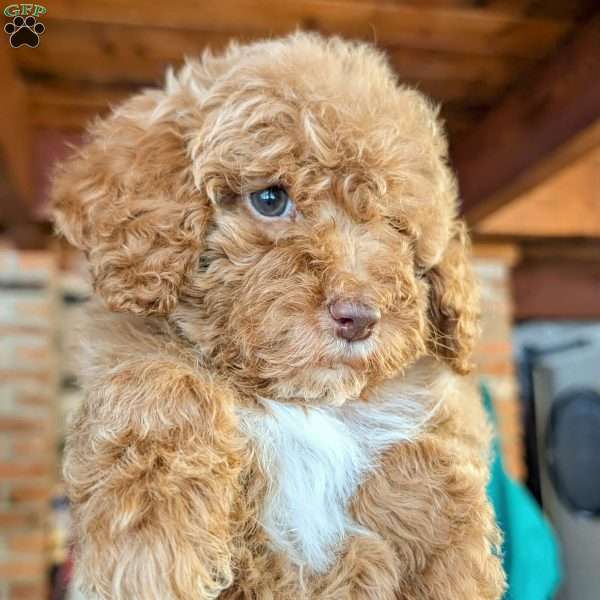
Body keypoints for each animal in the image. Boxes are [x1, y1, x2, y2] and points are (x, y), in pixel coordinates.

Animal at [51, 34, 504, 600]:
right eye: (270, 199)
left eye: (395, 225)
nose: (359, 317)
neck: (301, 403)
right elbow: (162, 387)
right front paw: (150, 558)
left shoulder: (431, 418)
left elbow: (428, 467)